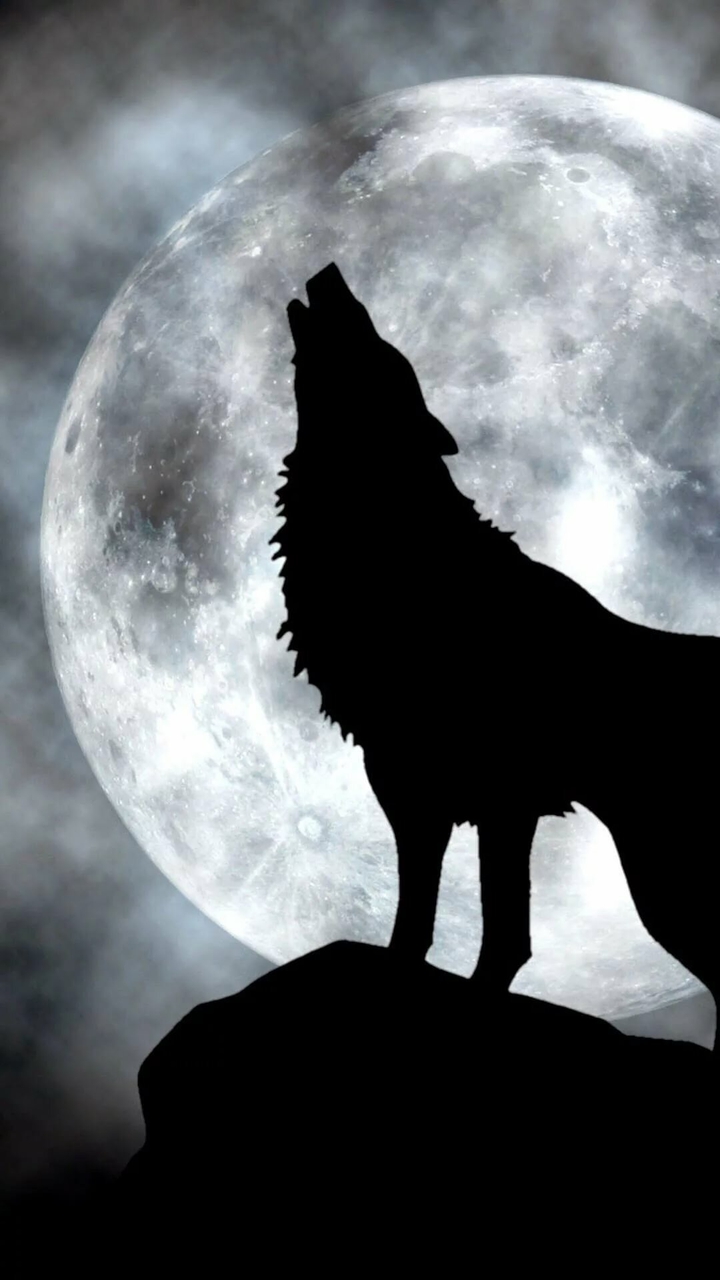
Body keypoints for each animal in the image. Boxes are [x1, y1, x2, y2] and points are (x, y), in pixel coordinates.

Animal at [269, 261, 718, 1040]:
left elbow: (479, 936)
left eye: (382, 351)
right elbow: (452, 928)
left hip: (663, 882)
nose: (331, 272)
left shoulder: (477, 795)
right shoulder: (440, 793)